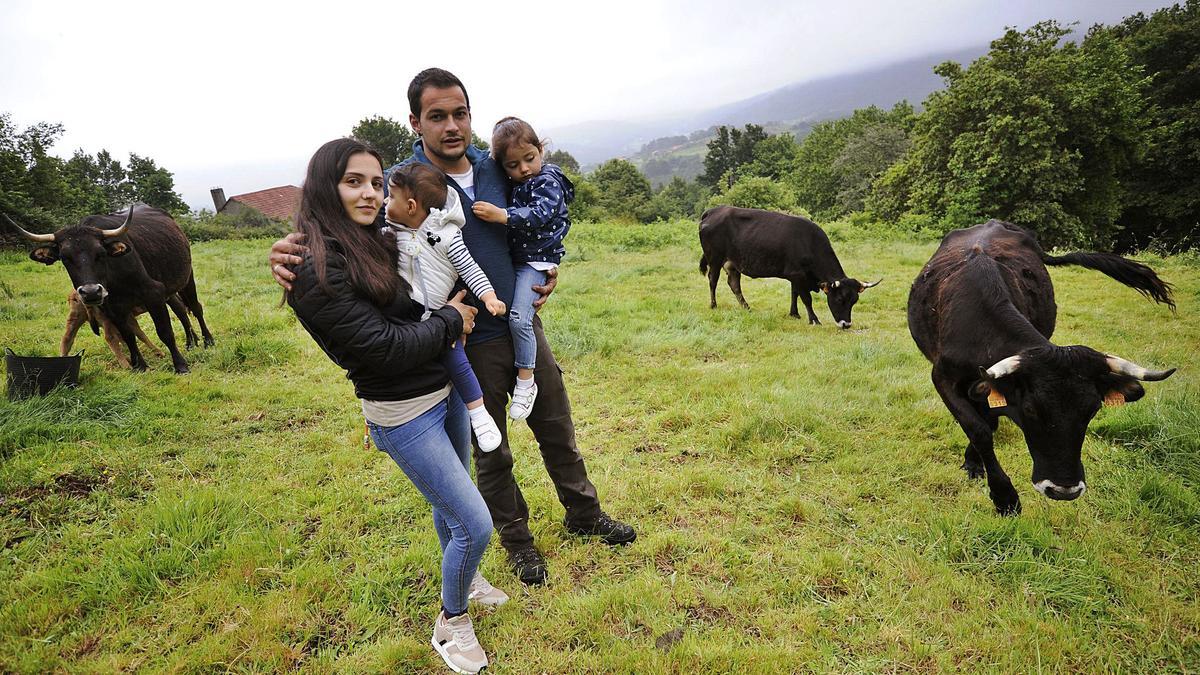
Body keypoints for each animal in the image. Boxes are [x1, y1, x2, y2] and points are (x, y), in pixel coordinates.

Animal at [6, 205, 213, 372]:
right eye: (65, 257)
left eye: (101, 253)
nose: (91, 292)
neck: (114, 277)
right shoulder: (113, 309)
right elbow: (128, 336)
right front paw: (140, 365)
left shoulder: (153, 294)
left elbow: (165, 332)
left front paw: (180, 365)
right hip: (168, 290)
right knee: (180, 309)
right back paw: (190, 342)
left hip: (186, 278)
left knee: (196, 308)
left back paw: (207, 340)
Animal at [696, 207, 883, 329]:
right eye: (839, 299)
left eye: (854, 301)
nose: (846, 324)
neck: (809, 242)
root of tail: (713, 211)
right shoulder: (798, 274)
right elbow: (806, 298)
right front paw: (814, 319)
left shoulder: (796, 276)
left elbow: (795, 294)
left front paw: (794, 314)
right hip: (715, 259)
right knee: (713, 281)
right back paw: (714, 305)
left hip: (733, 264)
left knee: (734, 284)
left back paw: (746, 307)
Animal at [907, 218, 1171, 511]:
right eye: (1031, 409)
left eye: (1092, 410)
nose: (1063, 489)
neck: (979, 328)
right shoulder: (943, 377)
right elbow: (979, 429)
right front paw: (1004, 495)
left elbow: (987, 422)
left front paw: (978, 467)